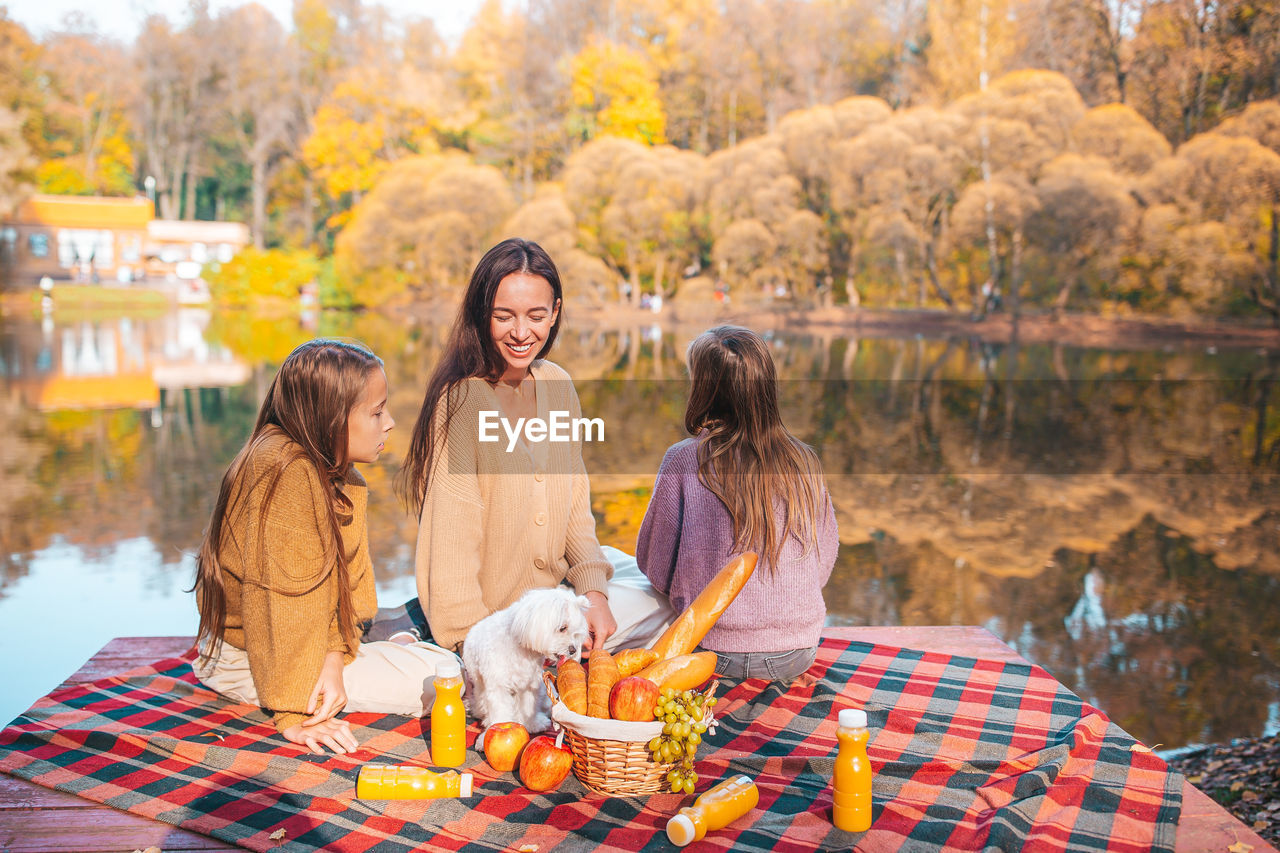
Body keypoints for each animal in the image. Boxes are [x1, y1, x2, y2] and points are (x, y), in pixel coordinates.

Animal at [460, 589, 588, 732]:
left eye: (575, 633)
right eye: (562, 628)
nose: (573, 650)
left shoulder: (529, 684)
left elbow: (527, 707)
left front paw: (531, 724)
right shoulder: (498, 687)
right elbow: (500, 711)